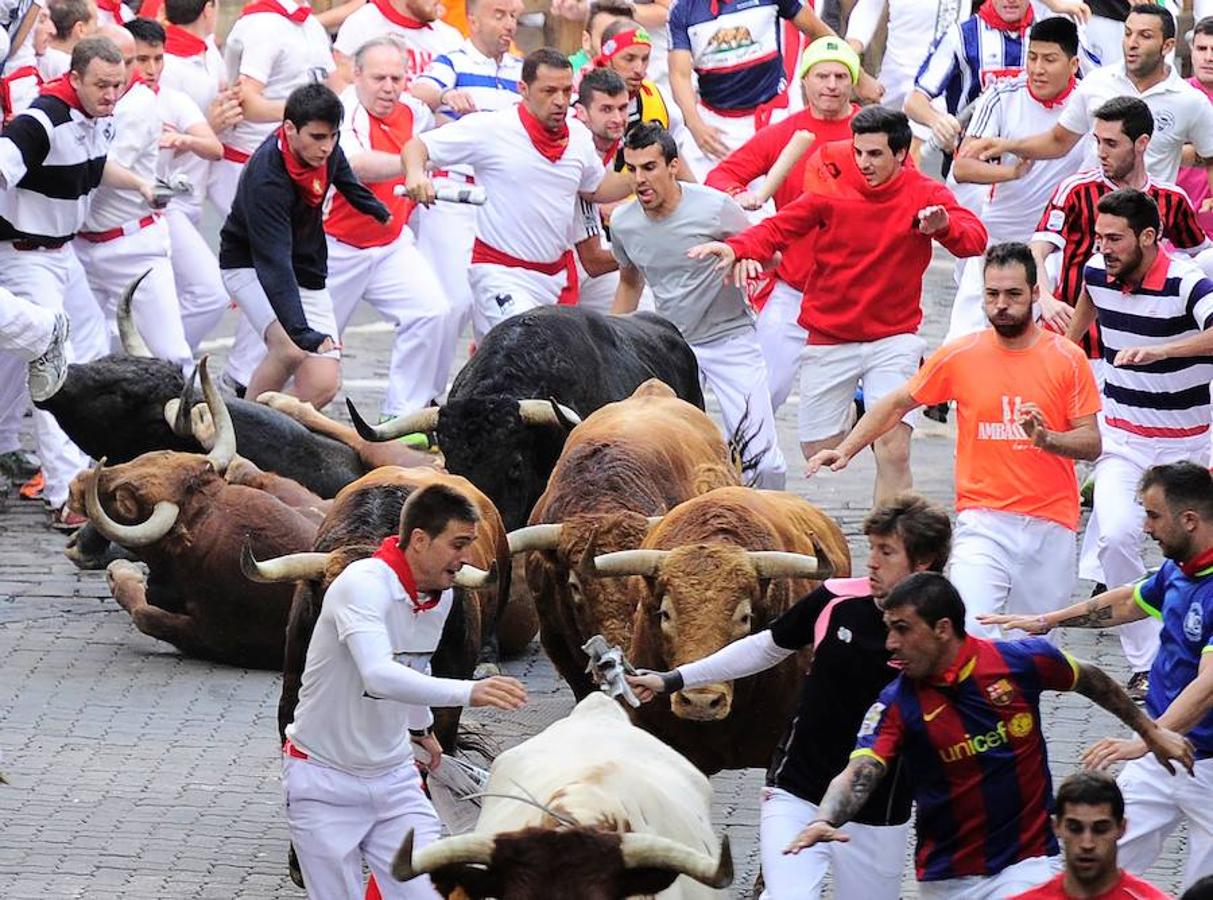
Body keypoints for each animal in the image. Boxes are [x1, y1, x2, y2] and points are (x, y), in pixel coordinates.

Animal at [72, 356, 320, 669]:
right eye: (146, 456)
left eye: (123, 500)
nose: (76, 484)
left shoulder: (213, 636)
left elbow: (146, 615)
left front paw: (123, 572)